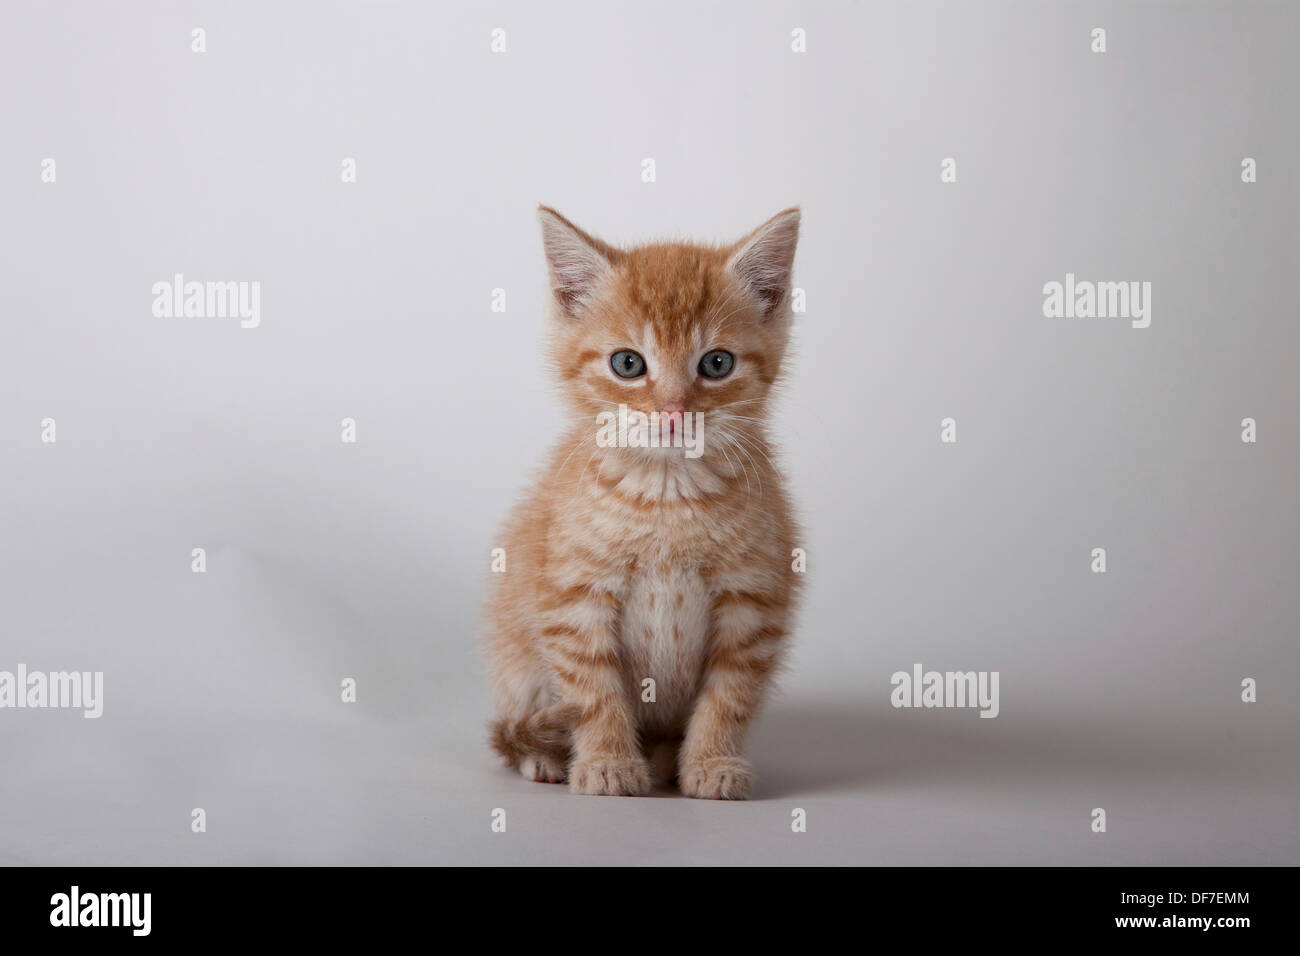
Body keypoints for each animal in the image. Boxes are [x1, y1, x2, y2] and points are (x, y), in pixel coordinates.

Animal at [483, 208, 795, 801]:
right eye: (628, 363)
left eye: (716, 363)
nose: (673, 411)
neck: (667, 497)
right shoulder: (574, 598)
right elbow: (593, 692)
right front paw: (607, 761)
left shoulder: (752, 604)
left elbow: (728, 695)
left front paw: (712, 762)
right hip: (514, 663)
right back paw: (545, 757)